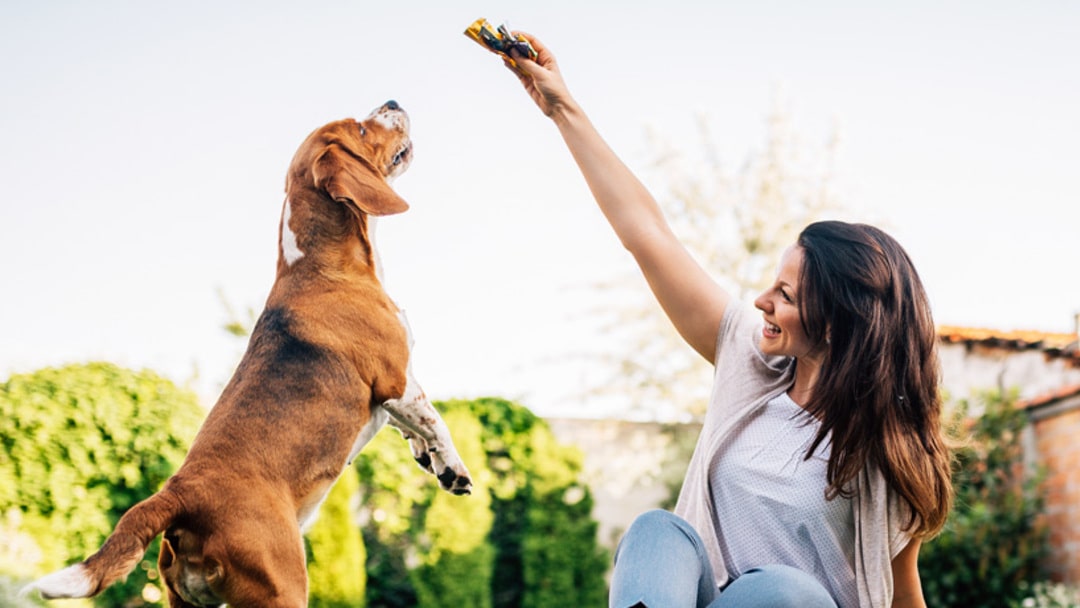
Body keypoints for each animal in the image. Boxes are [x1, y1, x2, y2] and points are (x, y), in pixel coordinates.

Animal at [24, 100, 473, 608]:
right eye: (360, 128)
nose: (393, 102)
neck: (321, 263)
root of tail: (179, 495)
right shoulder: (397, 380)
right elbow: (436, 422)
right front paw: (454, 468)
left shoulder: (396, 395)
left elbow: (414, 429)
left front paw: (430, 460)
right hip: (283, 587)